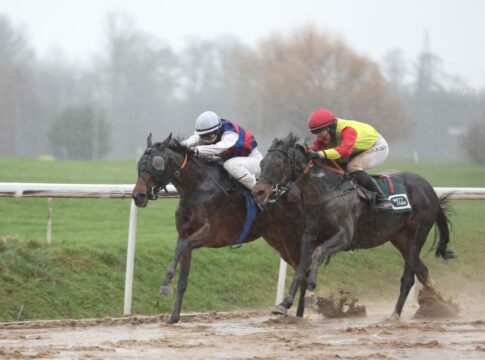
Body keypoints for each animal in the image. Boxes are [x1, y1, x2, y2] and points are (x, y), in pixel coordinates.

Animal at [132, 134, 306, 324]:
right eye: (140, 164)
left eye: (156, 164)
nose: (138, 196)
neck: (197, 188)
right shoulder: (184, 234)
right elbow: (183, 275)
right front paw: (174, 316)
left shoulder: (211, 233)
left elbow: (181, 248)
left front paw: (166, 283)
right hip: (277, 239)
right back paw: (299, 312)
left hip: (293, 235)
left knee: (304, 265)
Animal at [251, 134, 452, 320]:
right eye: (262, 163)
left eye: (279, 164)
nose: (258, 192)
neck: (326, 191)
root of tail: (429, 189)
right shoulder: (309, 235)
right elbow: (301, 268)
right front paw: (284, 303)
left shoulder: (344, 236)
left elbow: (318, 253)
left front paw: (311, 286)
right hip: (400, 239)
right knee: (422, 271)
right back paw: (440, 304)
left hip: (416, 235)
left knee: (408, 277)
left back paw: (396, 314)